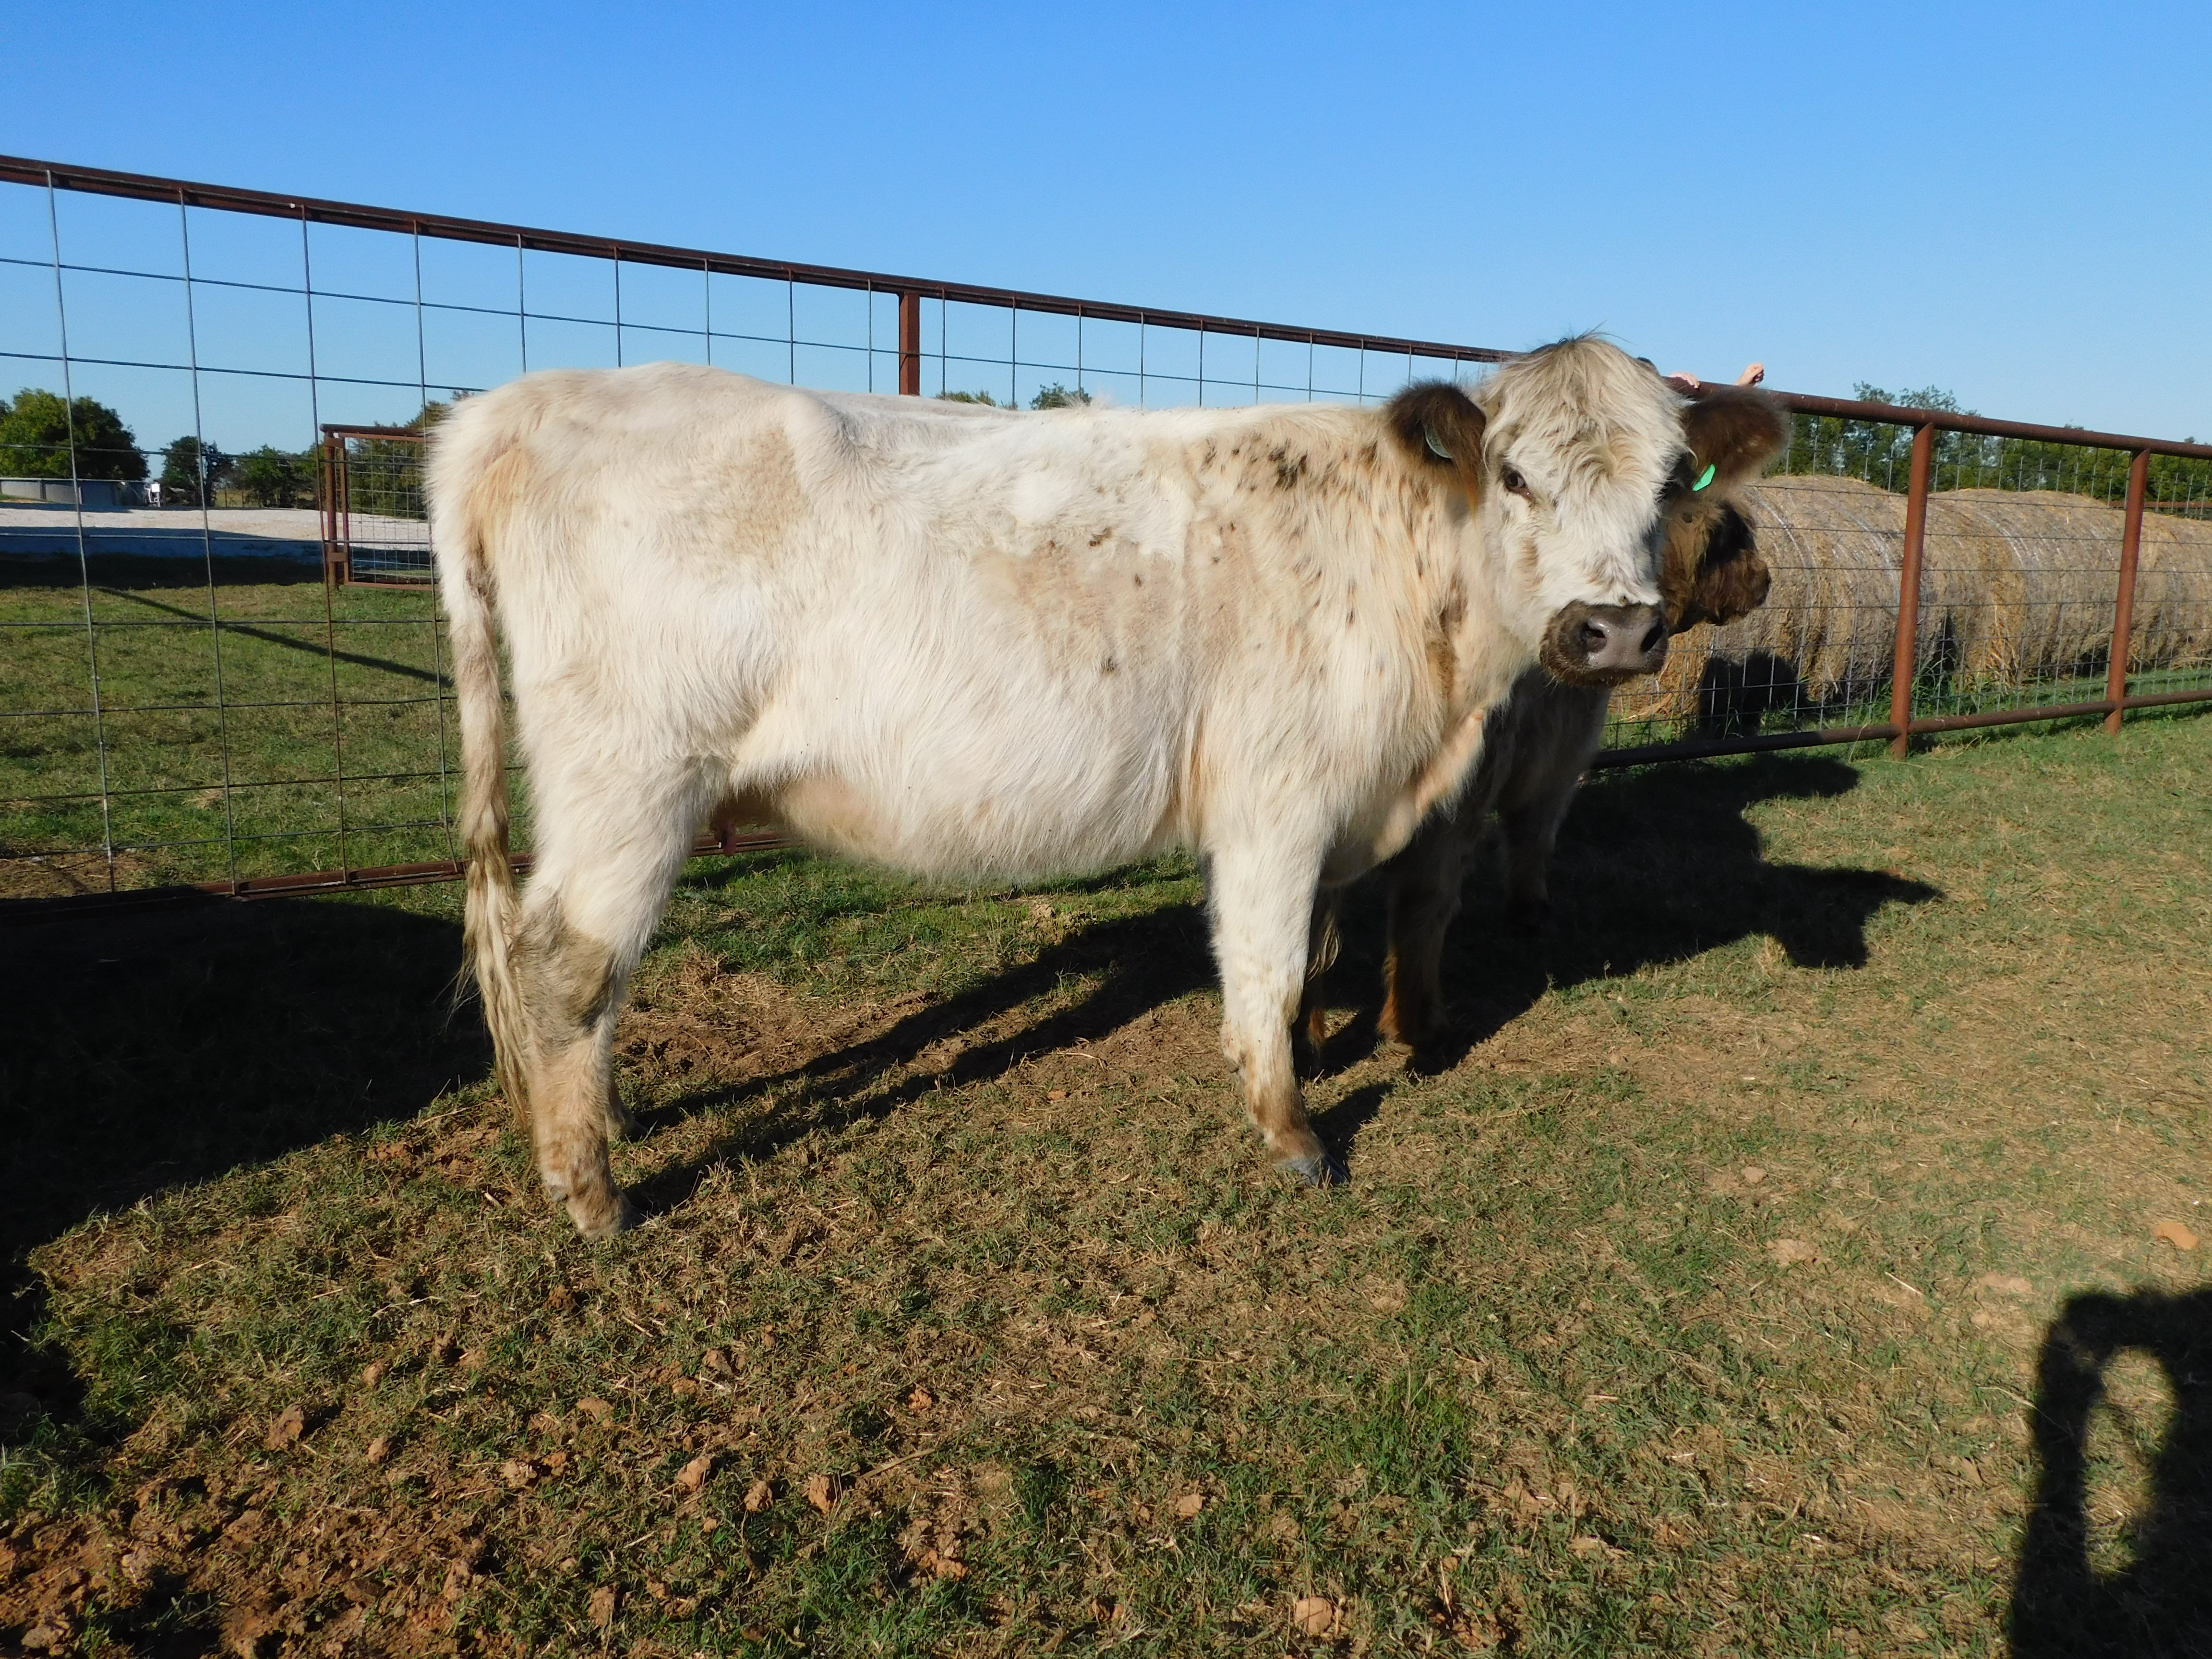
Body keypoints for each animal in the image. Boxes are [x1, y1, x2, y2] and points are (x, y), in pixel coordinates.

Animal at [431, 337, 1696, 1239]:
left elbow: (1316, 949)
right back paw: (593, 1191)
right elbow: (1269, 962)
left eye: (1670, 485)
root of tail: (524, 403)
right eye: (1517, 475)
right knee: (567, 960)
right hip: (634, 774)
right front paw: (1291, 1129)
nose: (1619, 628)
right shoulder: (1277, 797)